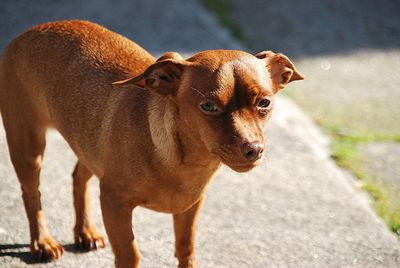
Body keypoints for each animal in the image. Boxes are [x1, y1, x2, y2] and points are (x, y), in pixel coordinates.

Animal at [0, 19, 302, 266]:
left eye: (264, 103)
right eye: (207, 106)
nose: (254, 149)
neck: (183, 162)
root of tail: (30, 31)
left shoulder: (190, 208)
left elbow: (186, 250)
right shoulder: (114, 203)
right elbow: (130, 254)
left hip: (89, 144)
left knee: (78, 177)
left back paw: (84, 231)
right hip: (27, 144)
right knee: (31, 193)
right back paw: (42, 242)